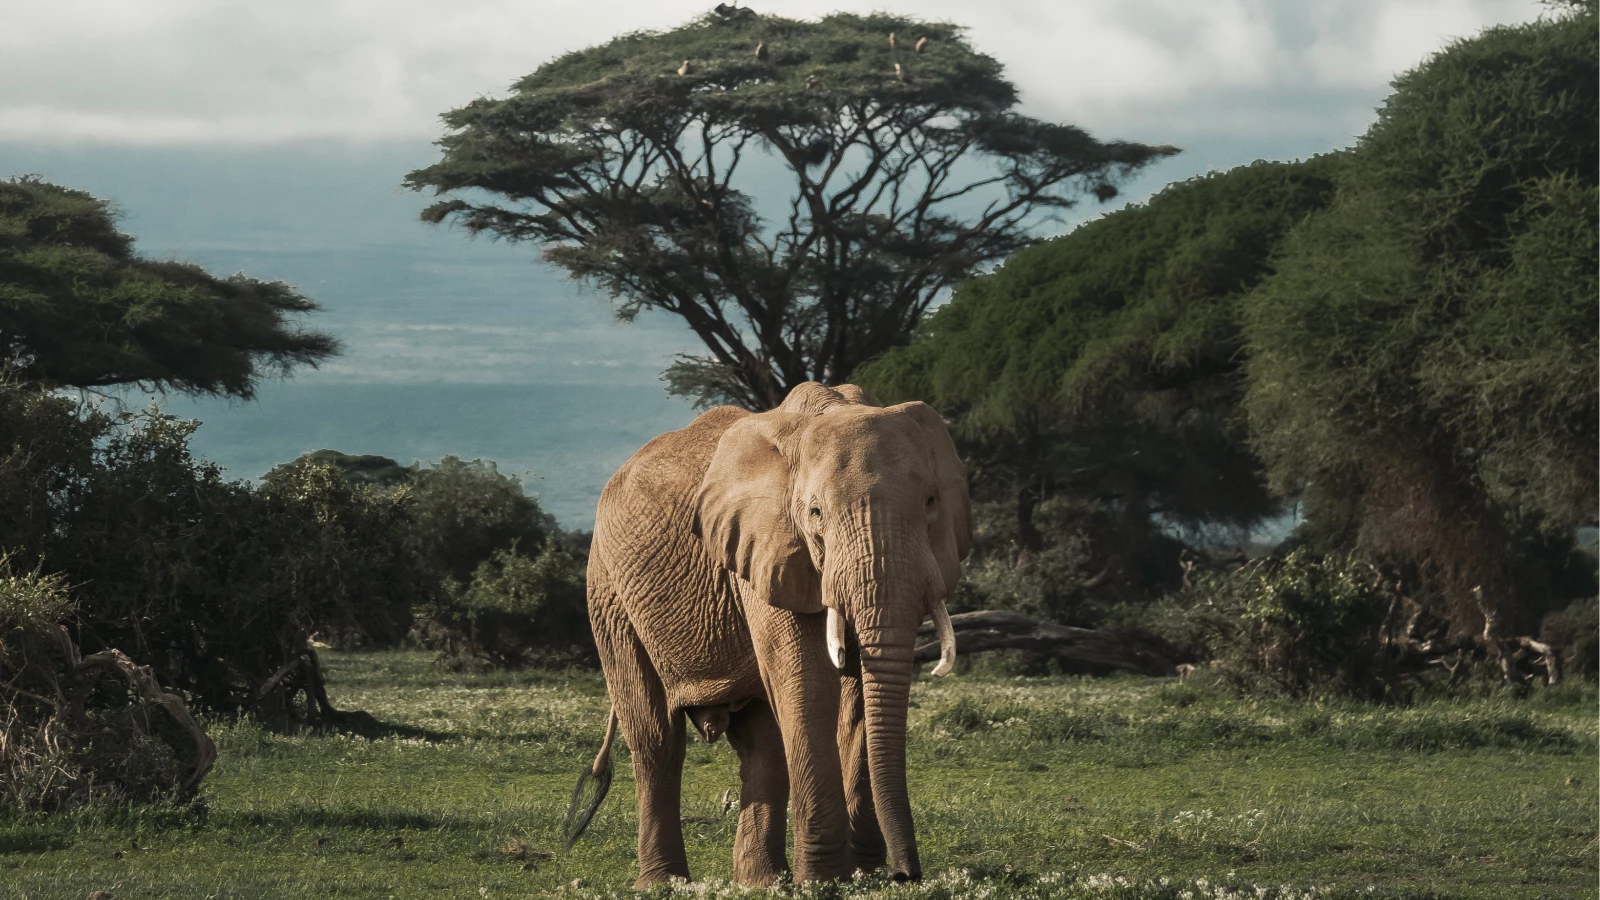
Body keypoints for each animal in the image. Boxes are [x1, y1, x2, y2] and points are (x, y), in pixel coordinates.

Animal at [569, 377, 966, 883]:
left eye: (931, 503)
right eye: (815, 513)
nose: (905, 874)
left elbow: (856, 690)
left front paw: (861, 874)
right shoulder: (763, 551)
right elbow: (808, 682)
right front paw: (826, 880)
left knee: (762, 744)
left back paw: (761, 881)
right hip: (609, 593)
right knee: (656, 738)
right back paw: (664, 883)